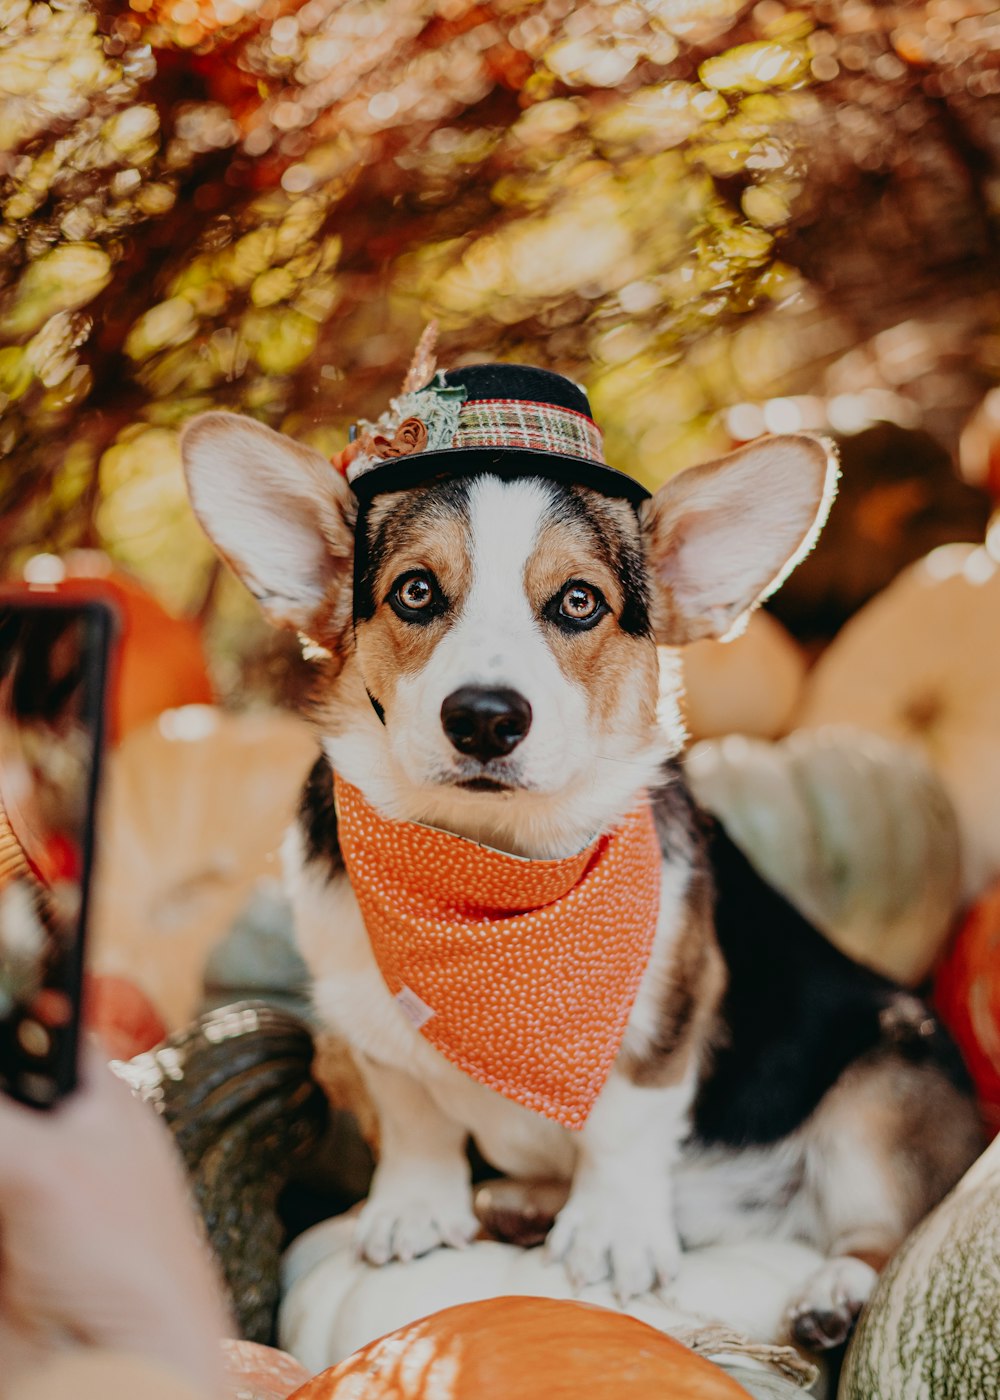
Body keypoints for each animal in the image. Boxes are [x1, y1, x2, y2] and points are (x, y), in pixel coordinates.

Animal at [180, 366, 980, 1349]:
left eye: (577, 602)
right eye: (415, 592)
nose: (485, 717)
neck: (496, 873)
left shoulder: (670, 1004)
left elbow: (626, 1126)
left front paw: (610, 1236)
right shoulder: (368, 1024)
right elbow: (413, 1121)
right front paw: (414, 1211)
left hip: (885, 1086)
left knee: (877, 1233)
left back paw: (830, 1290)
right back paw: (521, 1202)